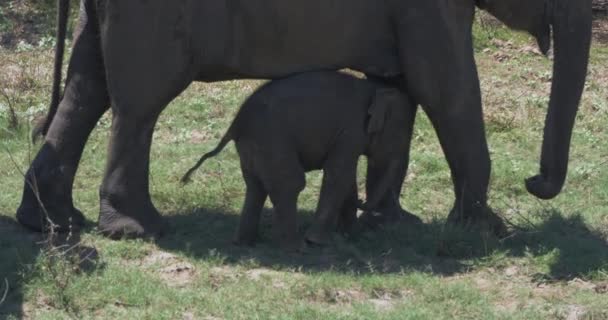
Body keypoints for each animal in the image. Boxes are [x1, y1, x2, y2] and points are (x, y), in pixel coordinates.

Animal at [183, 72, 410, 248]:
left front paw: (352, 235)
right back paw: (297, 247)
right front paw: (319, 241)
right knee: (291, 184)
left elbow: (346, 178)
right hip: (272, 141)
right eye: (400, 137)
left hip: (252, 147)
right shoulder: (350, 130)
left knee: (256, 187)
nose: (363, 202)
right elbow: (339, 175)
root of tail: (235, 124)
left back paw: (244, 243)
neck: (375, 89)